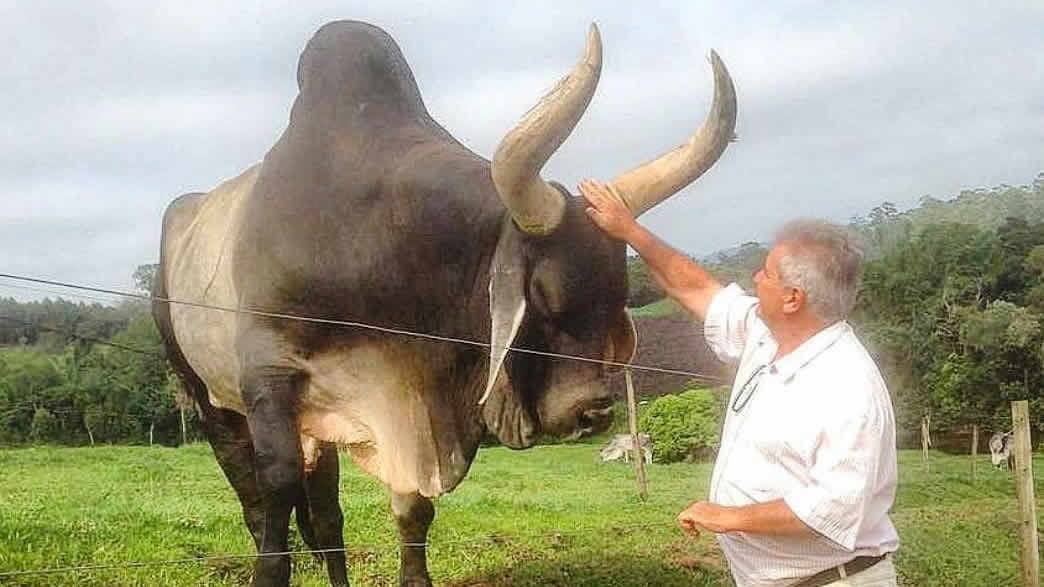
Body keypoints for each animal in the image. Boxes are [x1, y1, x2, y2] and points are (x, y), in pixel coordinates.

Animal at [154, 19, 739, 584]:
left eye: (618, 295)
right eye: (542, 292)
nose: (592, 410)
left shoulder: (409, 405)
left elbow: (412, 511)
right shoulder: (269, 377)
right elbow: (275, 495)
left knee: (326, 517)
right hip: (210, 401)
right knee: (258, 507)